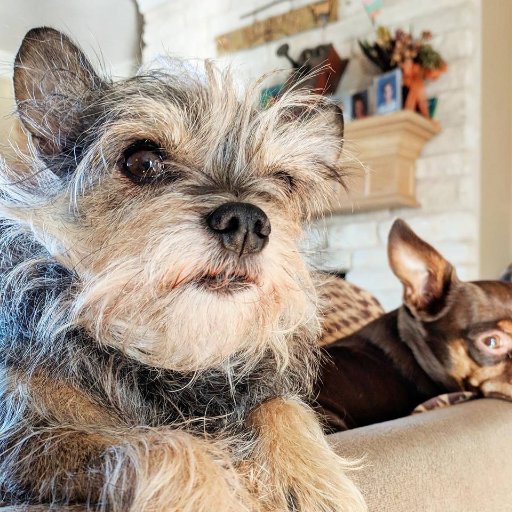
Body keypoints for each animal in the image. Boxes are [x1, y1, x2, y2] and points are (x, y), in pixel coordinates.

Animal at [0, 28, 368, 512]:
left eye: (284, 181)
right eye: (142, 161)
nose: (246, 223)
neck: (168, 361)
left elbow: (283, 406)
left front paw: (312, 482)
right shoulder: (24, 439)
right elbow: (166, 445)